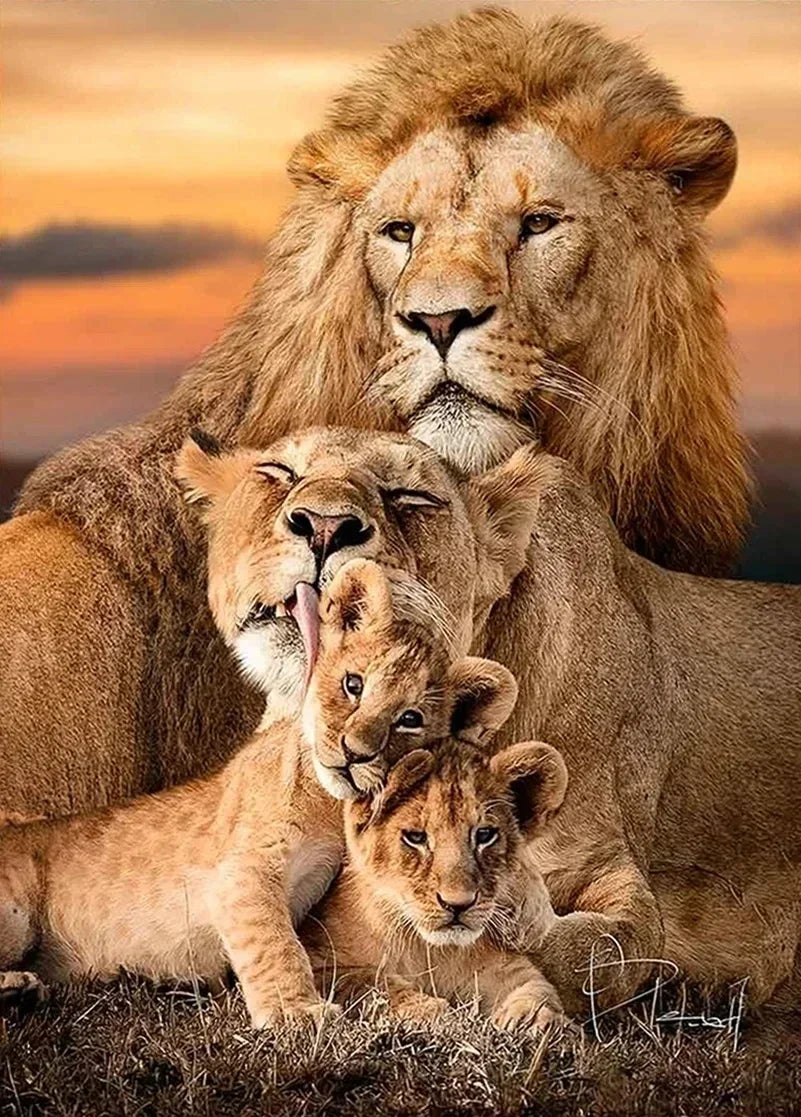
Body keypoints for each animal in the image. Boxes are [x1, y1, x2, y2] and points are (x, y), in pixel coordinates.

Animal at [304, 738, 568, 1034]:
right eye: (415, 837)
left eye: (485, 835)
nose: (458, 904)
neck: (428, 950)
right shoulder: (319, 961)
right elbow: (369, 980)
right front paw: (430, 1011)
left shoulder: (497, 964)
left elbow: (535, 984)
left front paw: (533, 1018)